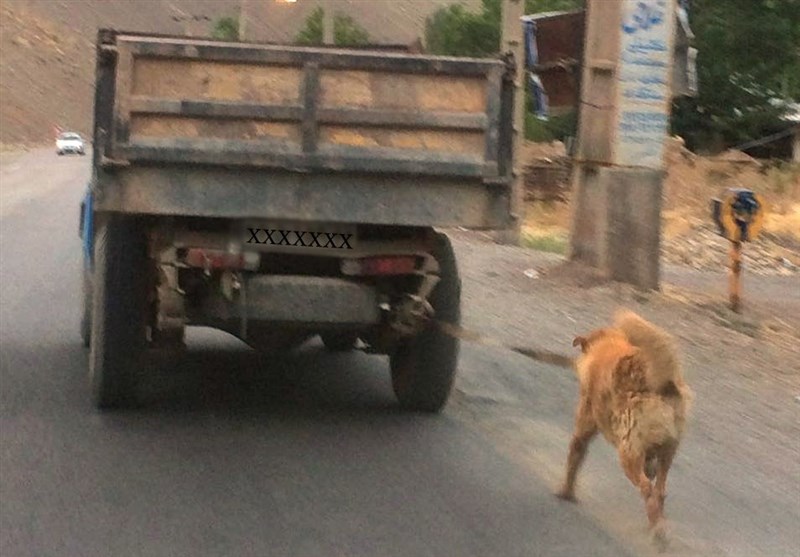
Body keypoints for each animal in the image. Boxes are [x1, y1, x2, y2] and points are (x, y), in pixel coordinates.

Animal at [560, 310, 692, 544]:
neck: (608, 345)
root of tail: (661, 385)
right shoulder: (652, 455)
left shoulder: (585, 423)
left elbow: (574, 457)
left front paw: (566, 493)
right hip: (668, 451)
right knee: (659, 491)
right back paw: (659, 526)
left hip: (628, 454)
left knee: (647, 489)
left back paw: (657, 532)